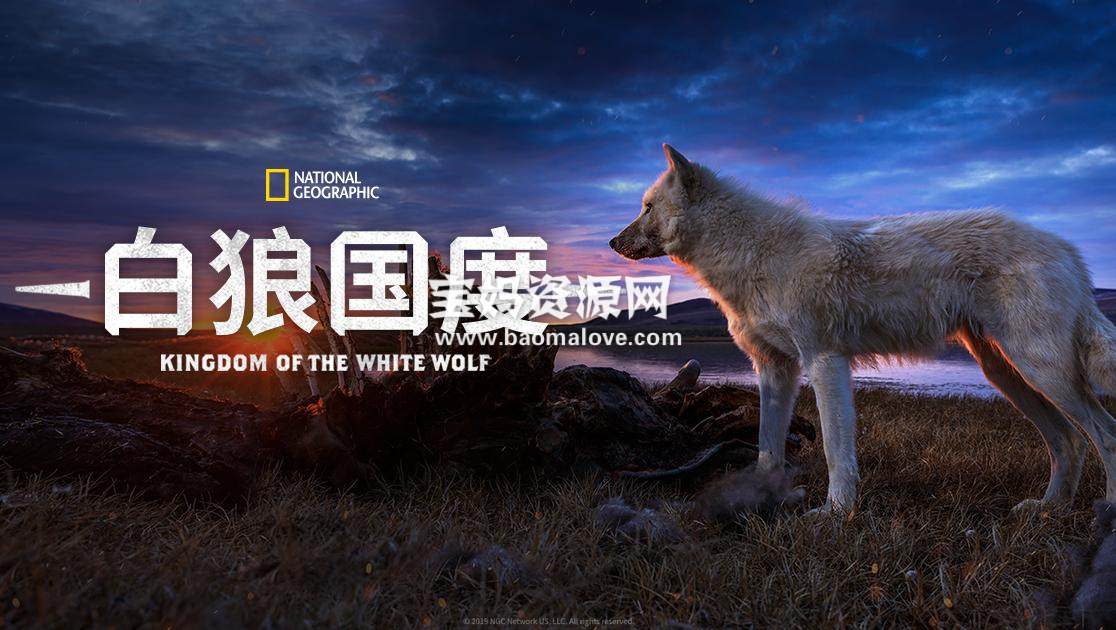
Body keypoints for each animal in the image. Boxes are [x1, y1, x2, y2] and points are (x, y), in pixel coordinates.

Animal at [610, 143, 1116, 514]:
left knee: (1104, 433)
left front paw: (835, 515)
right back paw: (1048, 509)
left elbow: (836, 452)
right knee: (1070, 441)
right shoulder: (774, 370)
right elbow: (767, 448)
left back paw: (1104, 512)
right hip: (1008, 374)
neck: (749, 253)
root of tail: (1068, 249)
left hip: (1041, 372)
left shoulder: (824, 363)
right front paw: (761, 499)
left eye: (647, 207)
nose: (612, 242)